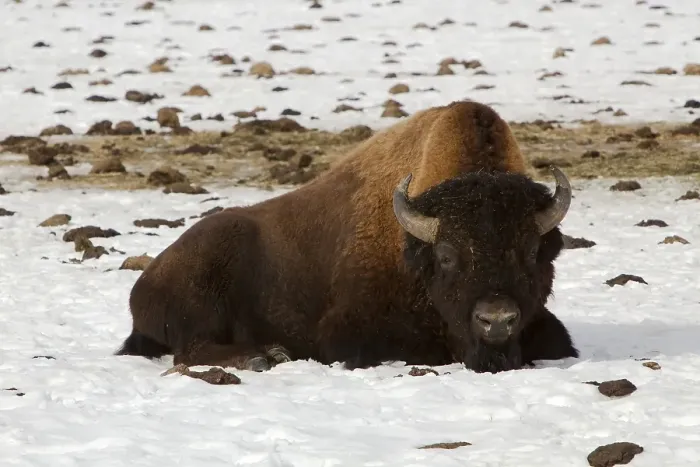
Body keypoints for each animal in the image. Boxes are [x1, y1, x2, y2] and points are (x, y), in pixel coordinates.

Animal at [116, 100, 579, 374]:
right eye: (446, 254)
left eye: (532, 250)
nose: (496, 320)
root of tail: (144, 285)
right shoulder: (346, 335)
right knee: (189, 350)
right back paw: (265, 356)